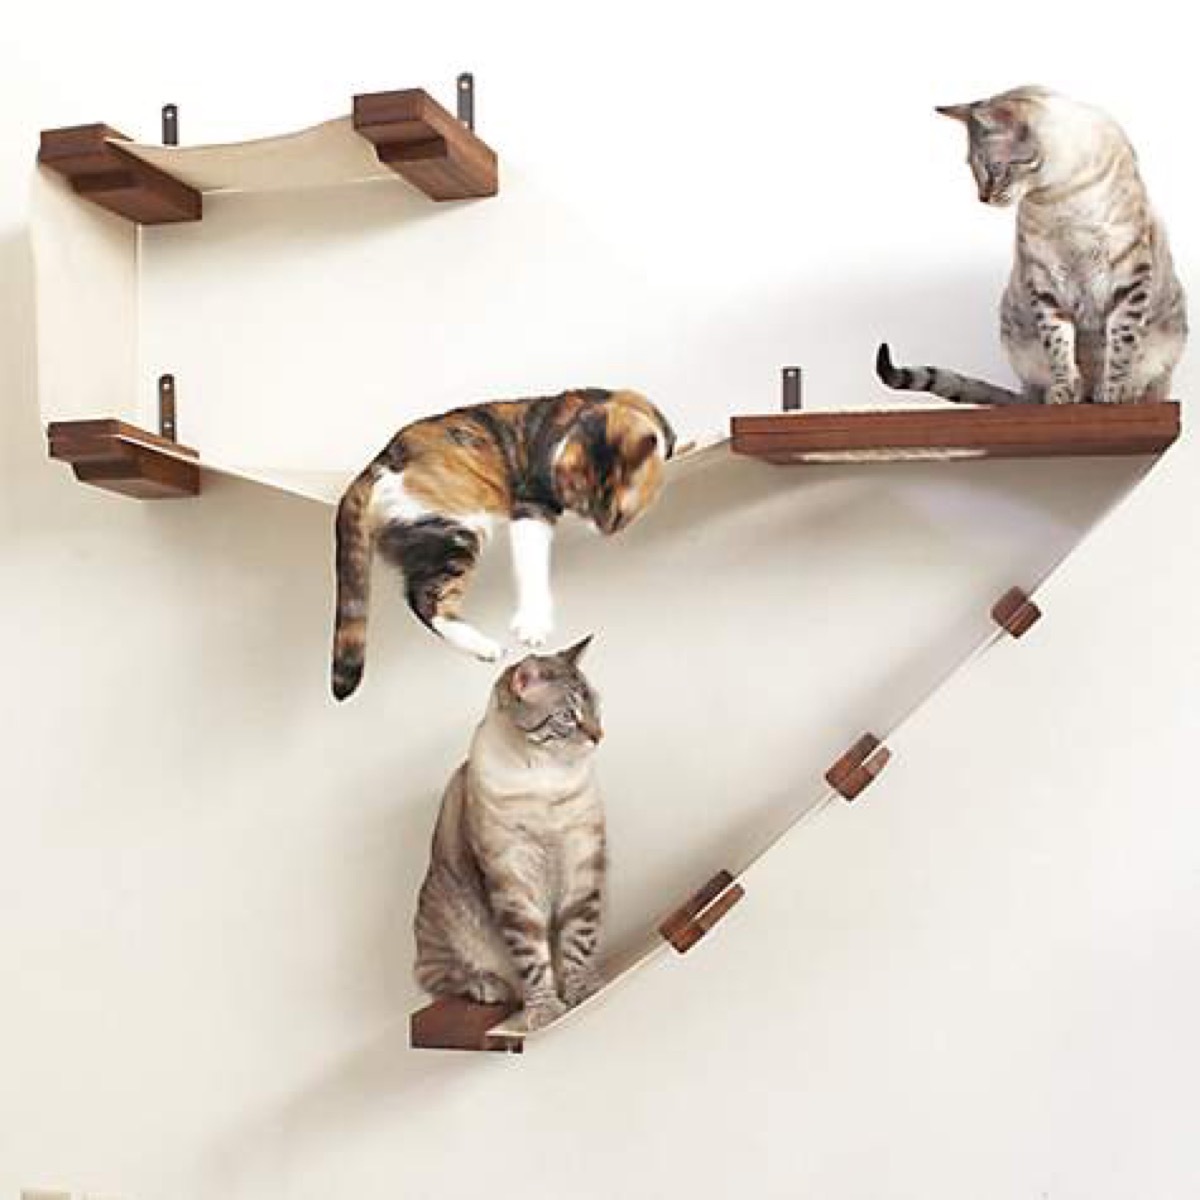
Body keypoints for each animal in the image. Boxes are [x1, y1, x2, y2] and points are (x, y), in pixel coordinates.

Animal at [328, 388, 676, 700]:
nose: (601, 529)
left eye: (615, 514)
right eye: (578, 497)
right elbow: (531, 565)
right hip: (457, 531)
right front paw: (534, 625)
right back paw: (485, 647)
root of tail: (376, 464)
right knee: (425, 599)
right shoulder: (532, 500)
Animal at [415, 638, 604, 1032]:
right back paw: (490, 986)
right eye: (569, 716)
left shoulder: (582, 859)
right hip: (448, 913)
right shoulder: (512, 878)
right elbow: (532, 957)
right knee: (436, 977)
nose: (599, 736)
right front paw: (545, 1011)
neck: (546, 778)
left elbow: (579, 938)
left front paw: (581, 990)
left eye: (596, 708)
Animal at [878, 87, 1185, 408]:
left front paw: (1115, 391)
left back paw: (1123, 392)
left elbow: (1122, 342)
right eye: (973, 169)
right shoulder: (1043, 278)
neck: (1060, 195)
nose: (982, 198)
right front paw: (1064, 392)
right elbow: (1058, 345)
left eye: (993, 167)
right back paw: (1068, 395)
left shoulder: (1129, 274)